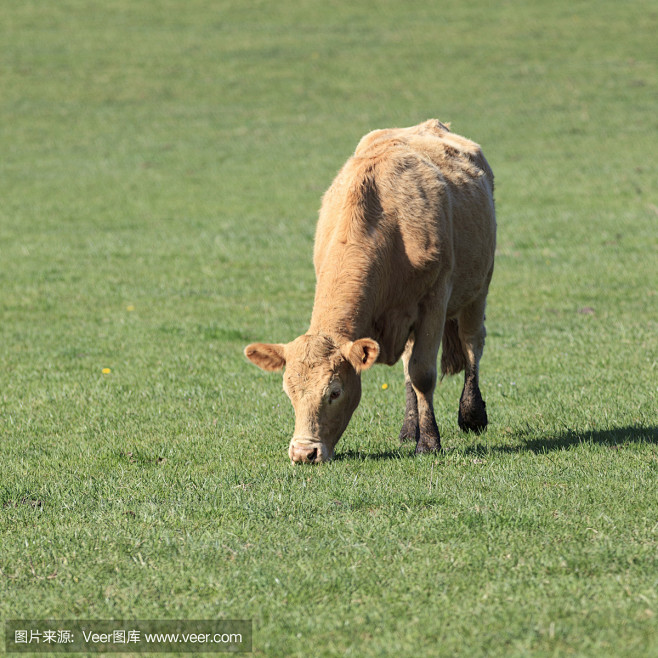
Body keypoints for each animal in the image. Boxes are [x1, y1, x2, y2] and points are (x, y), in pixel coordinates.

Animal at [243, 120, 494, 464]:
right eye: (289, 392)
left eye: (335, 392)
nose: (304, 452)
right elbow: (412, 369)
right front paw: (417, 433)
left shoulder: (434, 300)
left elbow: (423, 372)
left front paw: (429, 442)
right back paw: (410, 427)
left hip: (478, 288)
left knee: (472, 344)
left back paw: (472, 413)